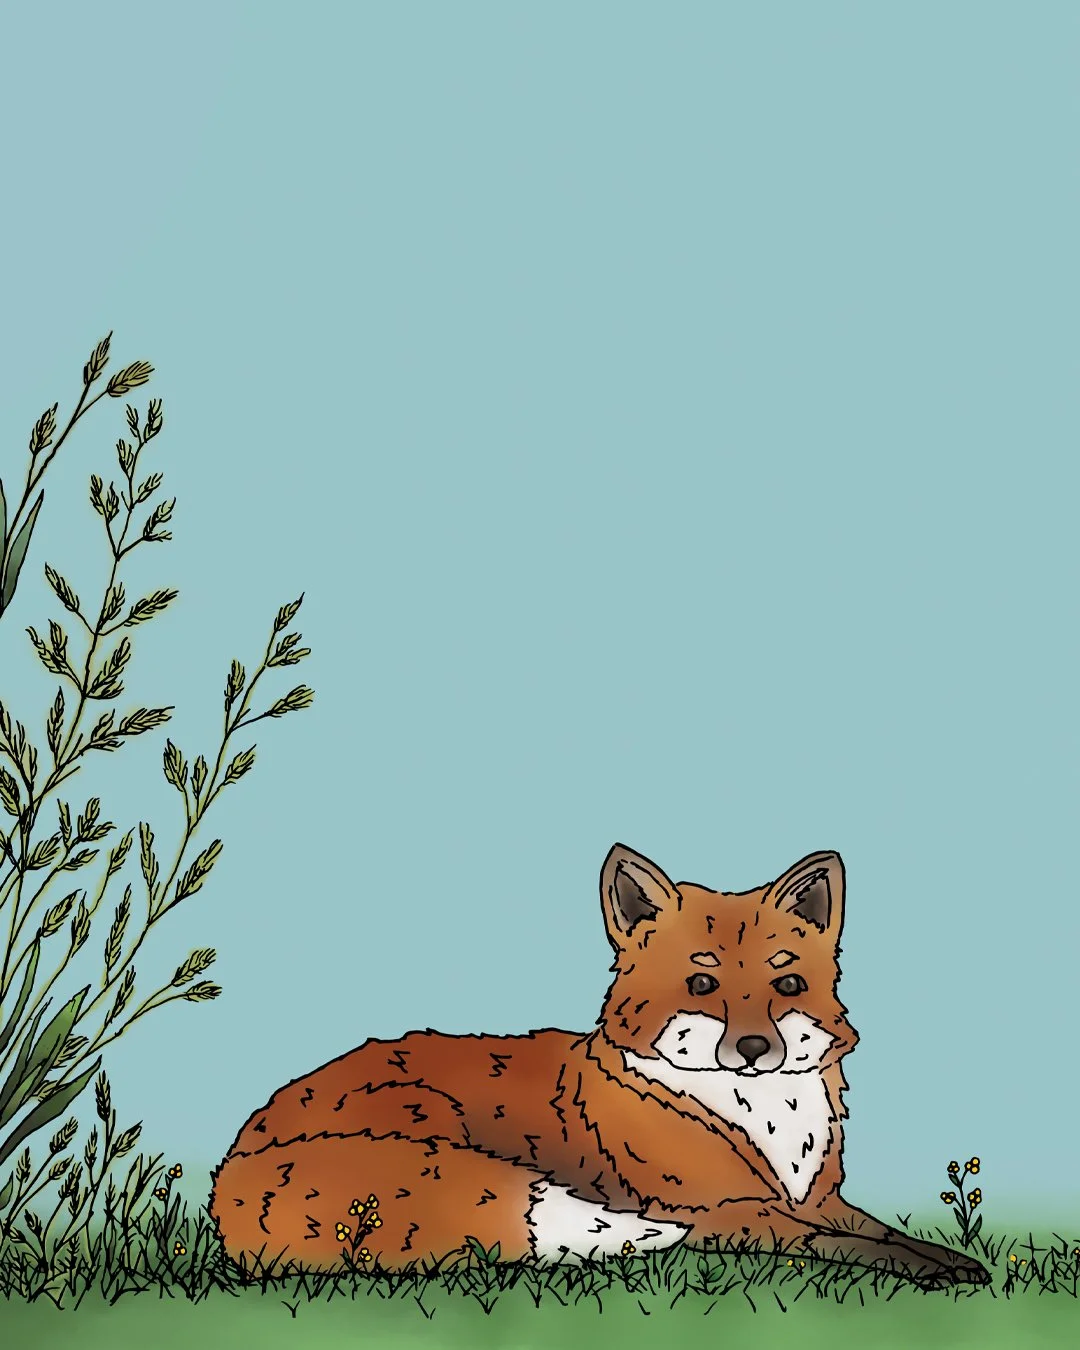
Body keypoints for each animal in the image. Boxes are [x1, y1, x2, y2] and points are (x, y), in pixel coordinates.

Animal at [209, 844, 991, 1289]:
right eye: (702, 984)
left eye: (787, 984)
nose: (753, 1049)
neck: (765, 1126)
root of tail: (235, 1159)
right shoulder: (728, 1213)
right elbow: (850, 1249)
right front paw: (931, 1273)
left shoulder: (819, 1199)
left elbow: (882, 1234)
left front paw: (953, 1261)